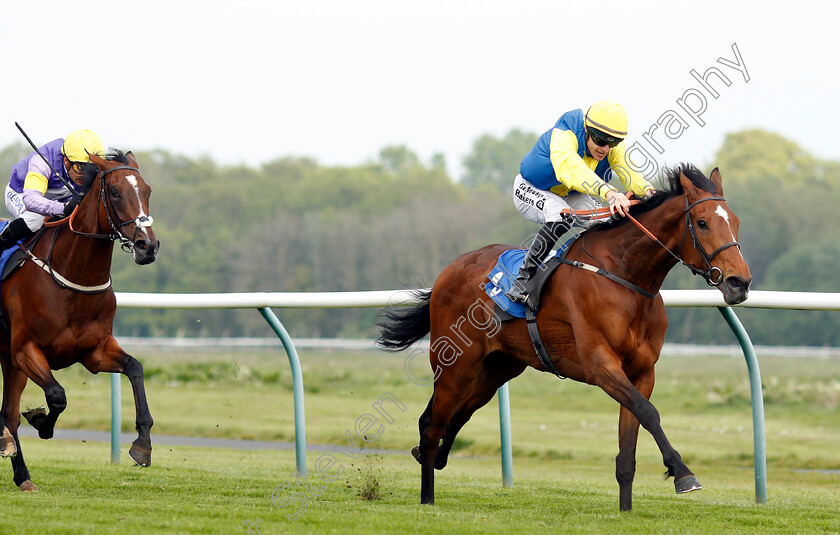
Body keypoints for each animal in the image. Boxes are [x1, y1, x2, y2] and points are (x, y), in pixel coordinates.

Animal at [0, 149, 159, 492]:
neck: (73, 276)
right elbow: (57, 397)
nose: (147, 246)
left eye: (147, 191)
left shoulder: (94, 351)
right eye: (115, 192)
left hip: (8, 358)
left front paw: (142, 444)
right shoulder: (26, 349)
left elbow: (135, 367)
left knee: (8, 415)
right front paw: (41, 422)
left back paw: (21, 473)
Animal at [378, 165, 752, 512]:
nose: (739, 282)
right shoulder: (601, 366)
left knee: (457, 416)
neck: (626, 277)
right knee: (432, 425)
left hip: (496, 369)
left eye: (735, 222)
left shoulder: (642, 373)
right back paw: (427, 498)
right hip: (456, 366)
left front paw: (626, 510)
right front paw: (683, 474)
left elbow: (630, 445)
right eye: (702, 223)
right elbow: (649, 412)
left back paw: (430, 459)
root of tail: (450, 269)